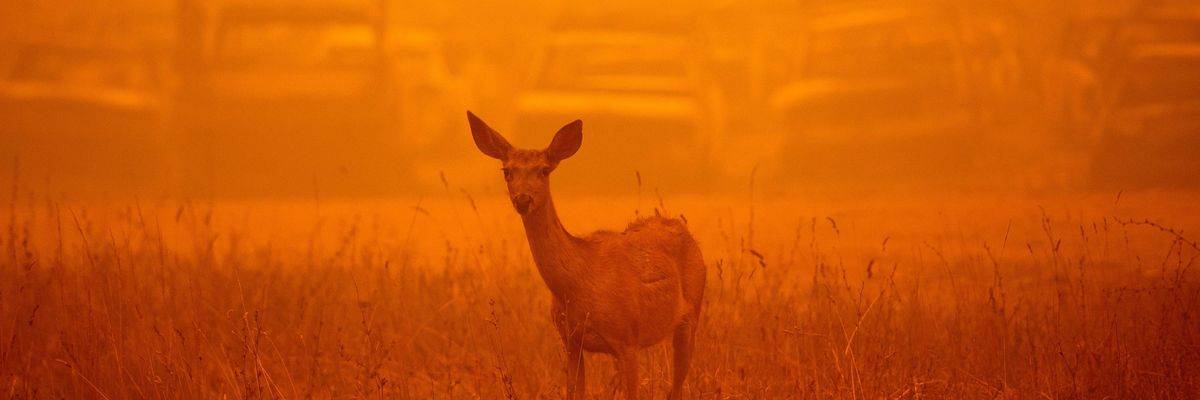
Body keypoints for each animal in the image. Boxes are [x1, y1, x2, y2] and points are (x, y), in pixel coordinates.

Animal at [467, 111, 706, 399]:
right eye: (507, 171)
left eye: (544, 170)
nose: (523, 199)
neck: (577, 284)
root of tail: (683, 228)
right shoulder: (570, 341)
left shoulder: (628, 339)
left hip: (691, 315)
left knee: (678, 385)